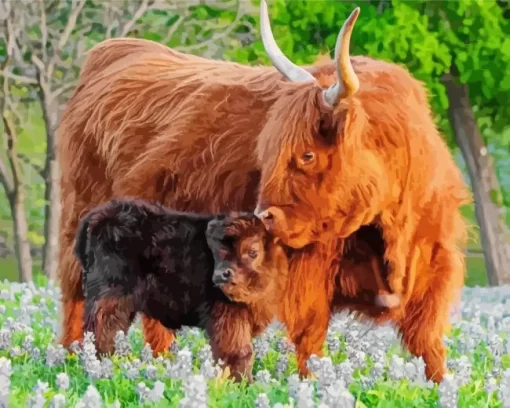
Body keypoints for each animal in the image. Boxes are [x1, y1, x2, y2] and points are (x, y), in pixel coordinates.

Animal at [57, 0, 468, 382]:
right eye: (266, 152)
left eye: (307, 154)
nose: (263, 217)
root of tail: (117, 50)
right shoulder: (307, 277)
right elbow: (310, 340)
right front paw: (309, 384)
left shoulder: (433, 267)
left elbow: (428, 344)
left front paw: (440, 387)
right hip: (83, 229)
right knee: (79, 303)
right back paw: (77, 359)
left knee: (154, 319)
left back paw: (161, 363)